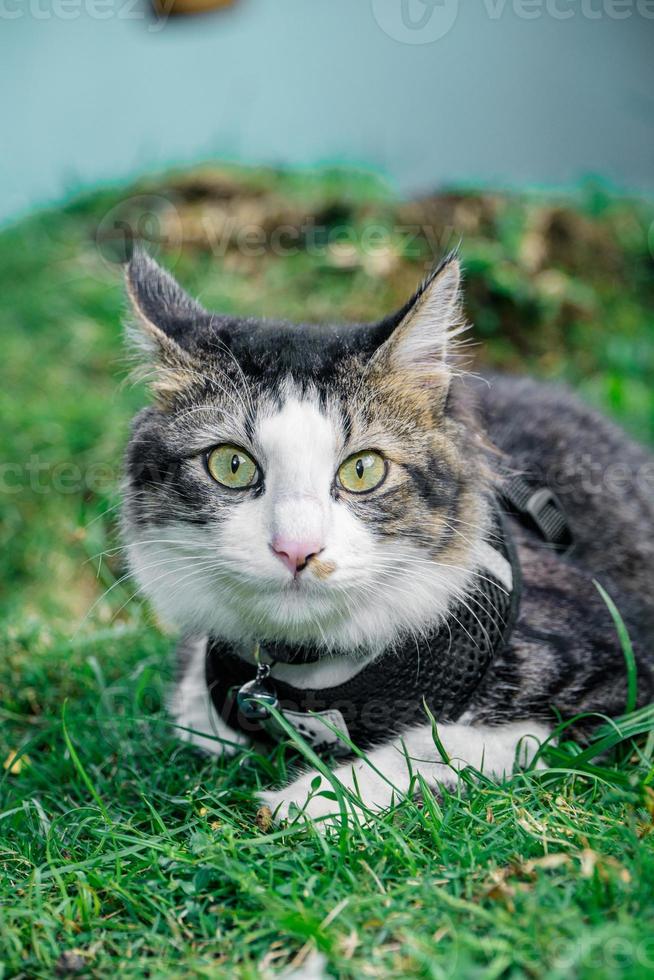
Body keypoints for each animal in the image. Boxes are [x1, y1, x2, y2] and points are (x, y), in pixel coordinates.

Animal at [121, 249, 654, 824]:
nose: (296, 549)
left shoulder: (618, 674)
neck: (307, 676)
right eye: (231, 465)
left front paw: (308, 800)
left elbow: (435, 745)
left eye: (363, 470)